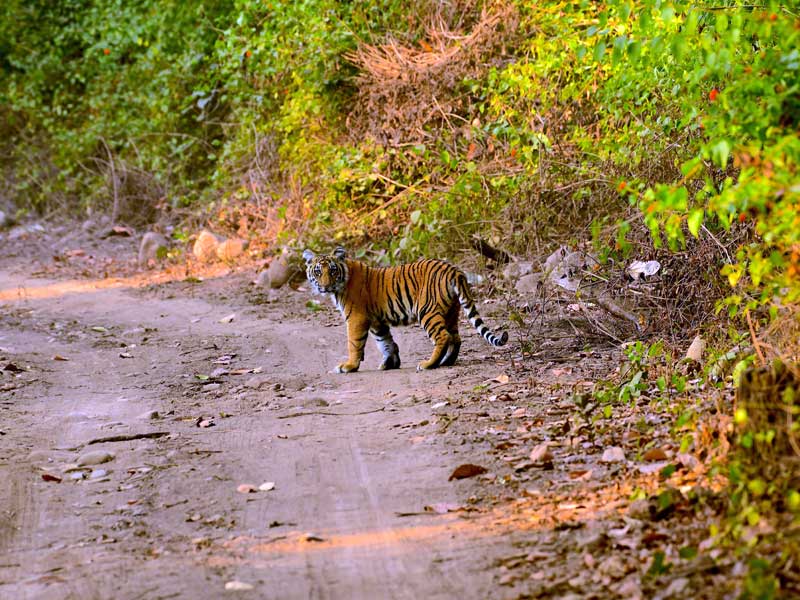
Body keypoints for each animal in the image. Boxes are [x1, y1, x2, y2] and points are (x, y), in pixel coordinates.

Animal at [304, 246, 510, 372]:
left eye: (332, 271)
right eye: (318, 272)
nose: (325, 286)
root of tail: (454, 270)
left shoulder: (357, 317)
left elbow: (354, 344)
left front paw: (348, 366)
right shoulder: (377, 321)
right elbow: (385, 342)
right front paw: (390, 363)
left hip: (427, 311)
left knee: (443, 336)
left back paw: (428, 364)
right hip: (452, 311)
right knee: (455, 338)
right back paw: (446, 362)